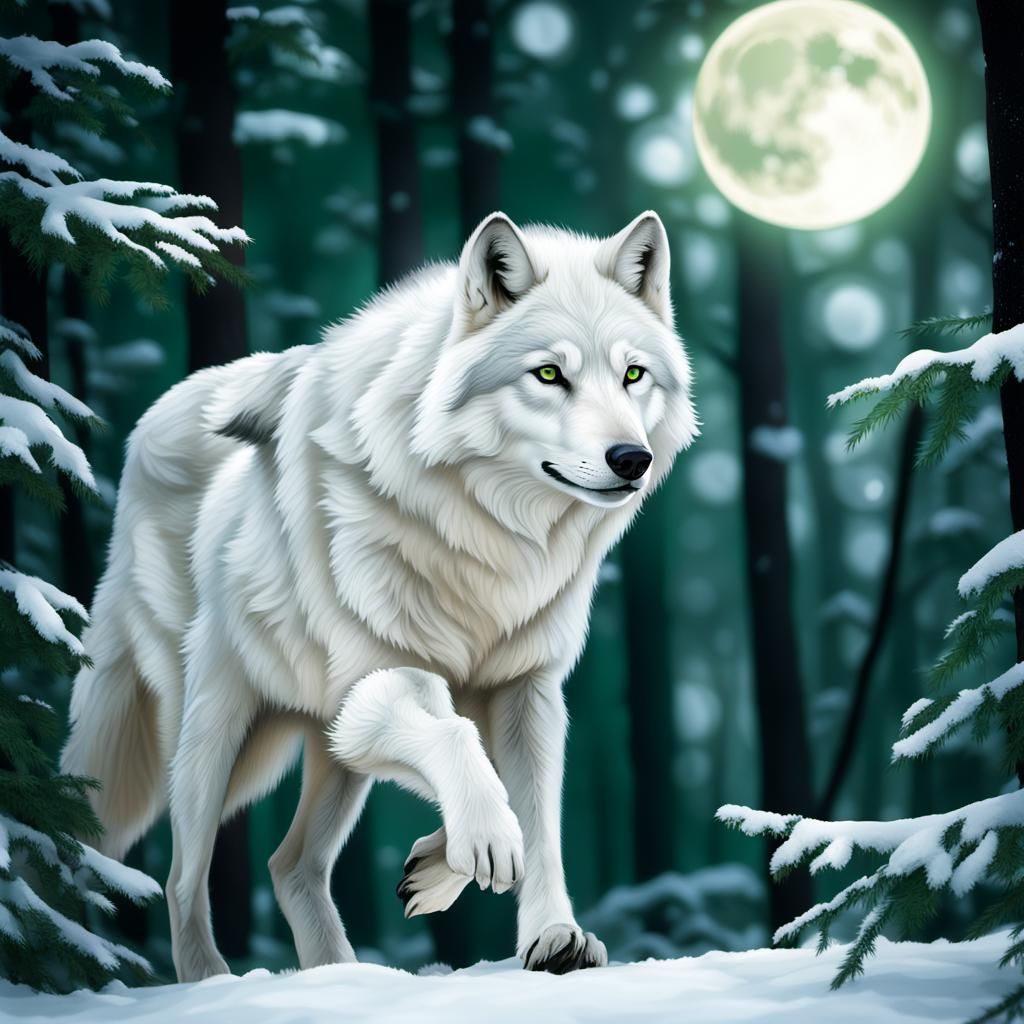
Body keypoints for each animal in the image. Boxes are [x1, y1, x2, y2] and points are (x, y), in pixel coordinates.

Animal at [61, 211, 697, 981]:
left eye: (633, 374)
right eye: (550, 374)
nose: (631, 459)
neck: (486, 536)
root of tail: (152, 420)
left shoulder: (523, 690)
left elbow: (539, 816)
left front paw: (544, 929)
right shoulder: (380, 678)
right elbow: (458, 743)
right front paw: (483, 839)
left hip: (322, 748)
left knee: (290, 864)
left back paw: (341, 972)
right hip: (215, 737)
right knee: (182, 877)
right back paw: (211, 980)